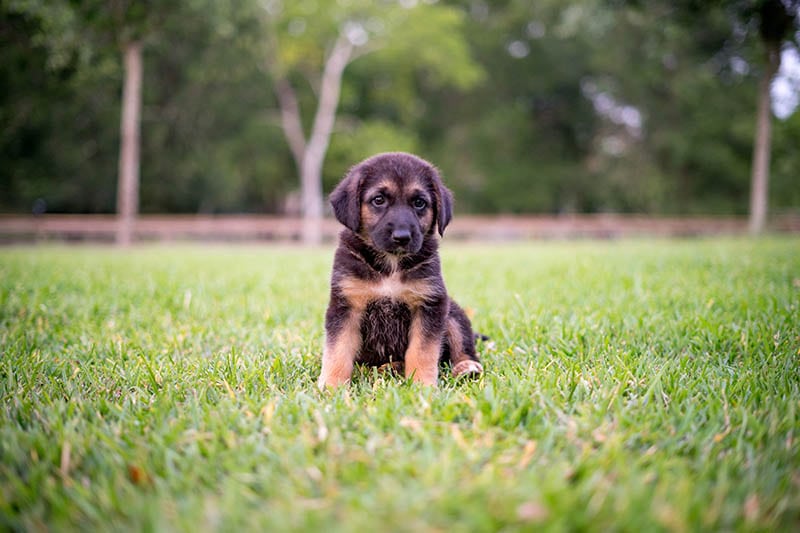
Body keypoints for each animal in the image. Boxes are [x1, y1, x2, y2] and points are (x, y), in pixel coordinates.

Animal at [318, 151, 482, 386]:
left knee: (464, 348)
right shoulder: (346, 305)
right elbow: (337, 351)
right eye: (378, 200)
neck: (391, 266)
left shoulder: (429, 304)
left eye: (419, 203)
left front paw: (422, 386)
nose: (402, 237)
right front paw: (332, 386)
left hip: (452, 314)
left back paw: (466, 367)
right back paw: (389, 367)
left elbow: (422, 352)